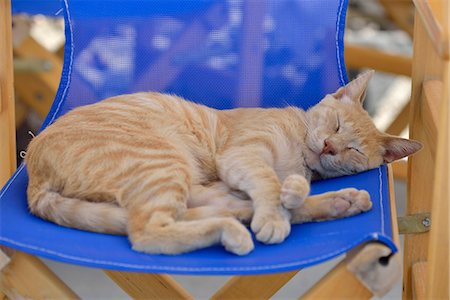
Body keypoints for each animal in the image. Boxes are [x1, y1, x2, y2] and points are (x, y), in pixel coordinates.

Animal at [25, 71, 422, 255]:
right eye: (336, 125)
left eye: (352, 150)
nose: (328, 146)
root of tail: (33, 168)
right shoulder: (243, 156)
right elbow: (269, 184)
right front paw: (276, 212)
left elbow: (280, 191)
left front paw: (292, 196)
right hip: (162, 162)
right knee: (148, 232)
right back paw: (233, 230)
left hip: (177, 175)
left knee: (203, 210)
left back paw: (341, 202)